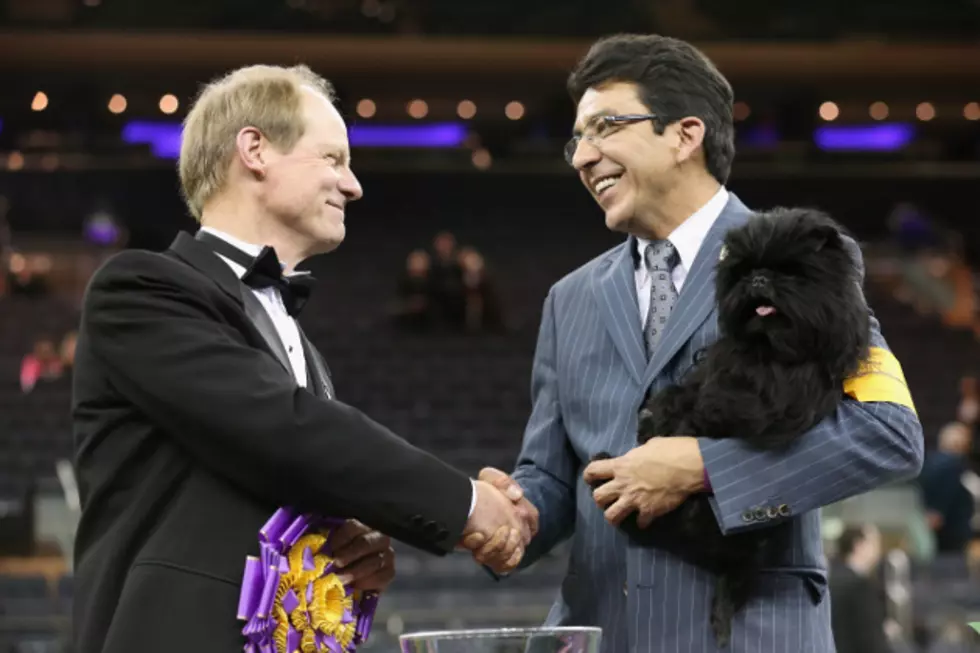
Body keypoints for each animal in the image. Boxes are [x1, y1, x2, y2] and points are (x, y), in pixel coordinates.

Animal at [588, 208, 872, 648]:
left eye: (790, 272)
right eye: (745, 272)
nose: (759, 279)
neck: (765, 347)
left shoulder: (781, 392)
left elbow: (725, 404)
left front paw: (676, 421)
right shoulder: (719, 363)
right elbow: (685, 391)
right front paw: (656, 415)